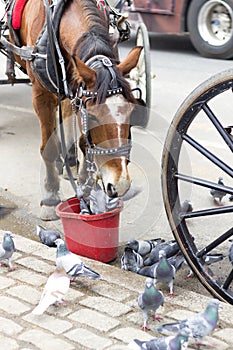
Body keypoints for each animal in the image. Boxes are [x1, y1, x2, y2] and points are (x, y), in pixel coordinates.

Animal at [11, 0, 143, 219]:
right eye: (93, 117)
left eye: (131, 113)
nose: (120, 185)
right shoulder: (41, 95)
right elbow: (48, 147)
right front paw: (50, 197)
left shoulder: (78, 91)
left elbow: (84, 143)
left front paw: (85, 183)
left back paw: (70, 161)